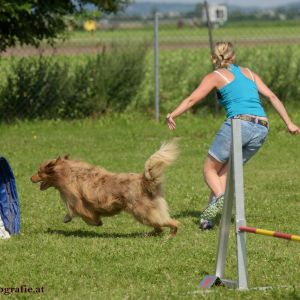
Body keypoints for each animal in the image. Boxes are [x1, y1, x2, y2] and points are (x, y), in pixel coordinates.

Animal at [31, 141, 179, 237]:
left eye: (38, 172)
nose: (30, 178)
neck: (67, 172)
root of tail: (144, 180)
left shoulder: (78, 202)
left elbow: (82, 214)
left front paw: (96, 222)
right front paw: (68, 218)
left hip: (143, 212)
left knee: (173, 222)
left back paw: (170, 235)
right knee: (159, 227)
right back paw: (150, 234)